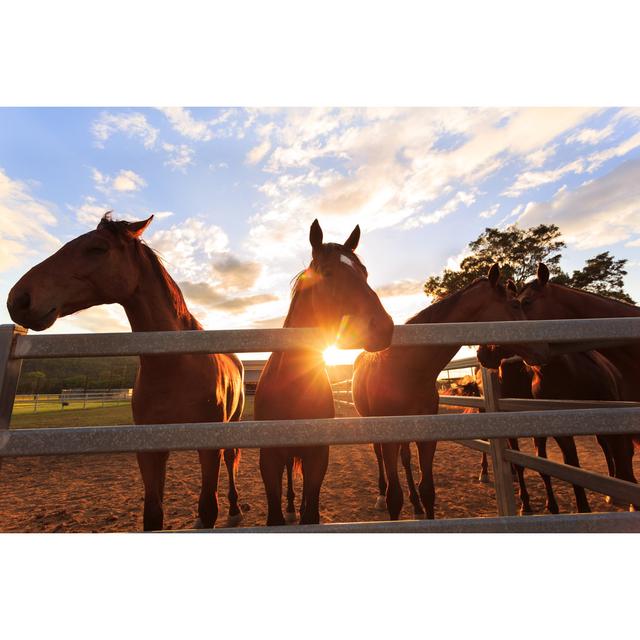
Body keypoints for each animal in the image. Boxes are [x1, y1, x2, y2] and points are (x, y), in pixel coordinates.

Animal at [6, 214, 244, 528]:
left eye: (98, 248)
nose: (18, 299)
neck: (175, 367)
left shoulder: (209, 447)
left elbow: (208, 508)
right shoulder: (149, 449)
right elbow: (153, 514)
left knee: (231, 460)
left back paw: (236, 509)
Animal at [252, 220, 392, 524]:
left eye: (364, 272)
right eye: (328, 273)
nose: (384, 327)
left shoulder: (318, 457)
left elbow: (311, 513)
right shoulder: (269, 459)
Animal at [352, 264, 548, 520]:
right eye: (515, 305)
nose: (542, 347)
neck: (406, 369)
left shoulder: (425, 434)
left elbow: (428, 490)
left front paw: (422, 505)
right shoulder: (388, 435)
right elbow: (394, 497)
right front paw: (388, 499)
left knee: (405, 460)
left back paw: (415, 505)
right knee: (379, 456)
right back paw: (379, 495)